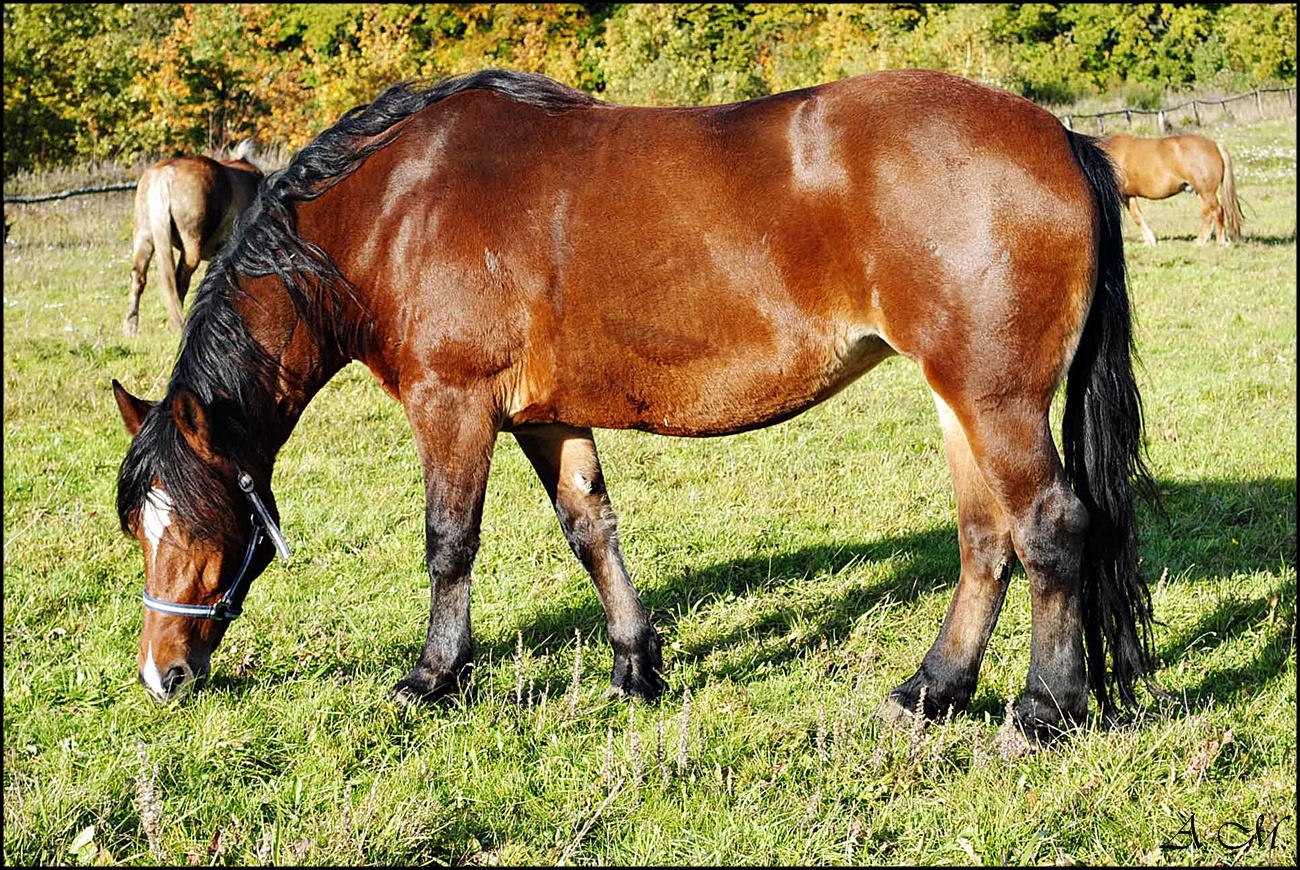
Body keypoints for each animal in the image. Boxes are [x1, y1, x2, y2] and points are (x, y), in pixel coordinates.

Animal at [124, 141, 263, 335]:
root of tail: (165, 173)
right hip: (191, 246)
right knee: (179, 281)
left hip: (144, 237)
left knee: (138, 277)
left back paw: (131, 326)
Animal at [1102, 132, 1242, 247]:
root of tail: (1215, 145)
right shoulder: (1128, 195)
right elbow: (1137, 216)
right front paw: (1150, 240)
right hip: (1201, 192)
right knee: (1208, 213)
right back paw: (1200, 241)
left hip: (1207, 192)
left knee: (1217, 211)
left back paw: (1220, 242)